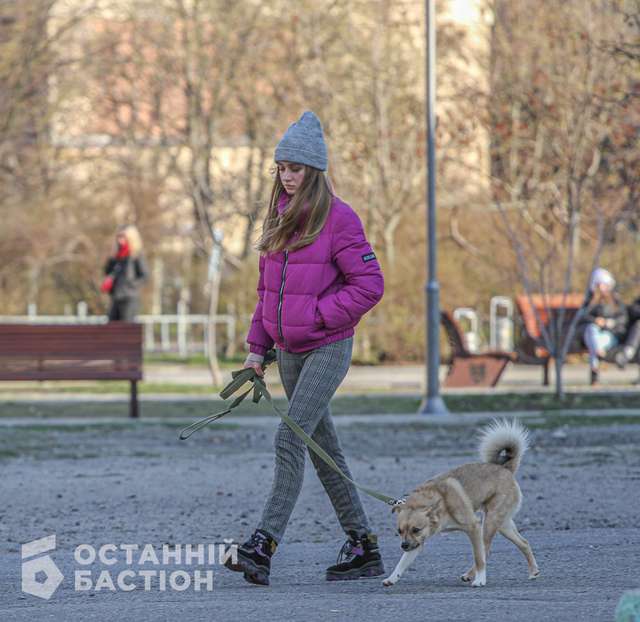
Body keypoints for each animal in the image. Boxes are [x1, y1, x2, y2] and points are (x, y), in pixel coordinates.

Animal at [384, 420, 540, 588]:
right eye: (399, 531)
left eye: (416, 529)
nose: (404, 546)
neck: (441, 502)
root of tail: (505, 469)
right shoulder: (417, 543)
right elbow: (402, 563)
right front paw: (392, 578)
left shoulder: (474, 527)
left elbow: (478, 557)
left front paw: (480, 579)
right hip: (503, 525)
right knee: (524, 543)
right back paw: (533, 571)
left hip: (490, 522)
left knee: (486, 551)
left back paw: (471, 575)